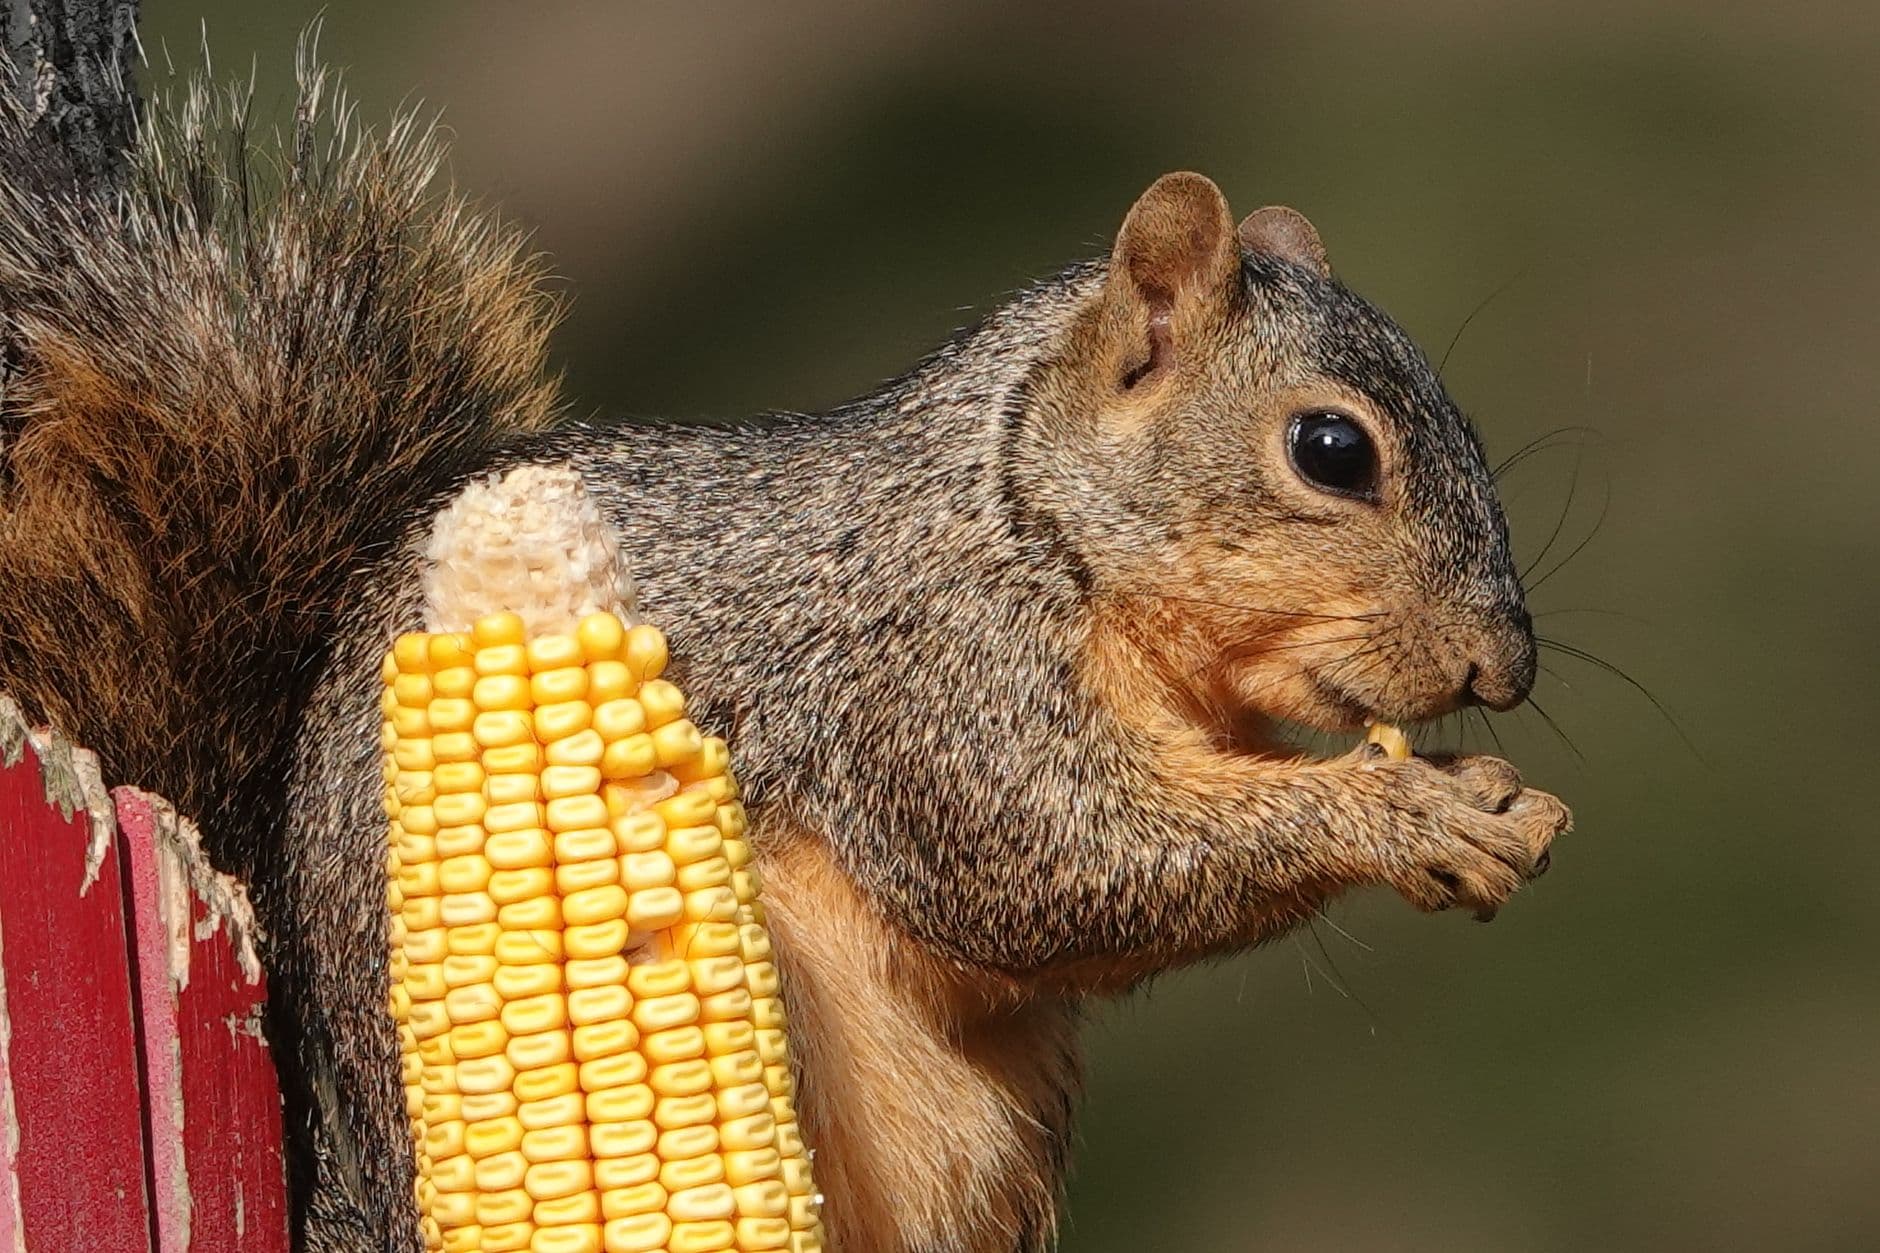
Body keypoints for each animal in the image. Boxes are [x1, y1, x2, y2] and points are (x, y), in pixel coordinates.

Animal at [0, 69, 1568, 1253]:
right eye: (1331, 448)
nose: (1505, 668)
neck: (1024, 510)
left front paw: (1489, 795)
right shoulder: (926, 677)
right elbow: (1052, 863)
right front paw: (1404, 812)